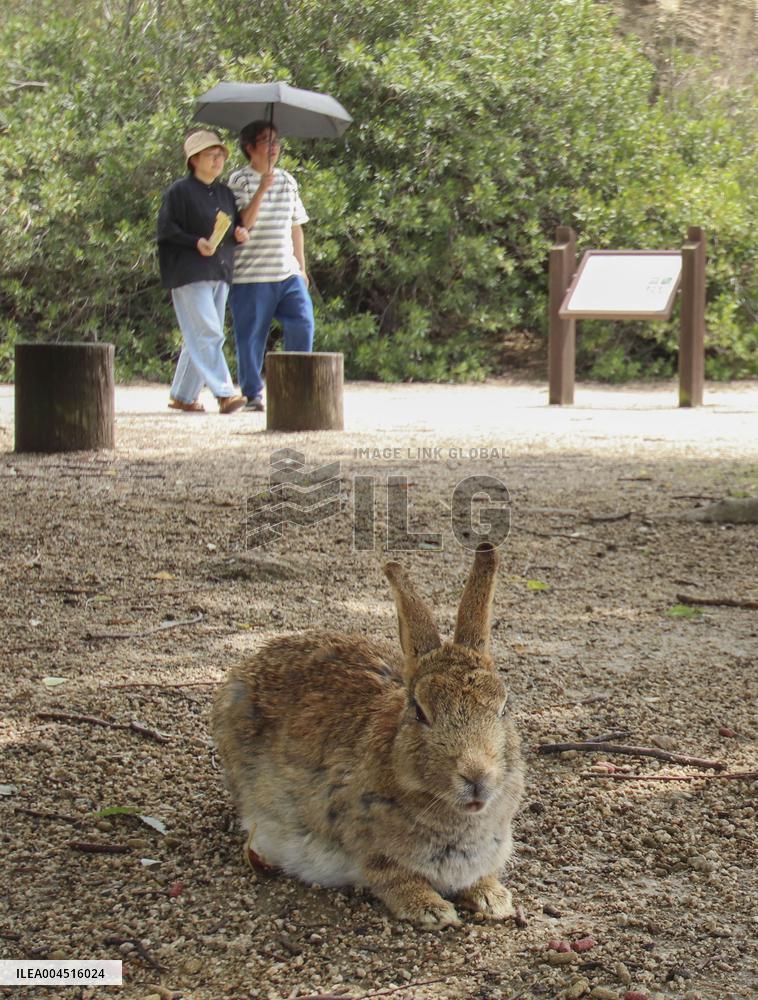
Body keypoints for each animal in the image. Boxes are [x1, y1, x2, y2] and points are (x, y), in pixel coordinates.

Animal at [211, 542, 524, 929]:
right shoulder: (365, 847)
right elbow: (392, 878)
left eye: (504, 707)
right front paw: (431, 909)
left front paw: (493, 898)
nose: (477, 776)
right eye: (420, 712)